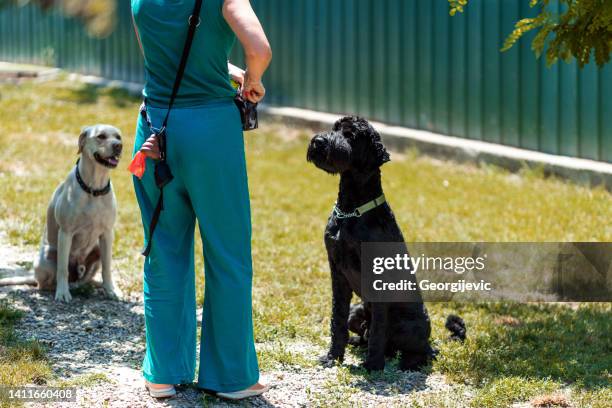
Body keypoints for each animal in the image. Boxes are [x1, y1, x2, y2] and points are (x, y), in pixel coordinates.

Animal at [0, 126, 123, 302]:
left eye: (118, 137)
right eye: (101, 136)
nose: (118, 146)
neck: (93, 188)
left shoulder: (107, 234)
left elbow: (107, 268)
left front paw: (111, 290)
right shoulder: (66, 233)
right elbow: (63, 269)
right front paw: (63, 293)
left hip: (97, 250)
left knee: (88, 279)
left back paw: (95, 285)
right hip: (46, 258)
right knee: (45, 283)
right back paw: (66, 287)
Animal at [306, 116, 464, 372]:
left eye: (350, 135)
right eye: (334, 128)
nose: (318, 142)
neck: (351, 210)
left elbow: (379, 330)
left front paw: (372, 365)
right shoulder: (336, 272)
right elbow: (336, 319)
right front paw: (333, 356)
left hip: (407, 325)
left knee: (418, 350)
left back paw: (407, 361)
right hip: (357, 312)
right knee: (365, 333)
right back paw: (357, 343)